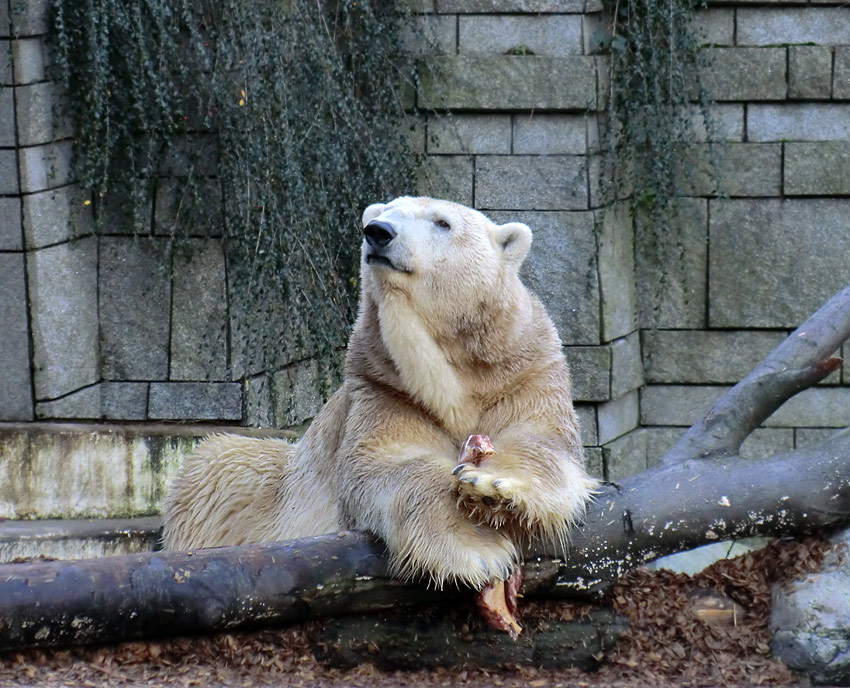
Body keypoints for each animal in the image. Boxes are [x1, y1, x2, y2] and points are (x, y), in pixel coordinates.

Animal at [162, 196, 592, 592]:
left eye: (443, 222)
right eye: (385, 211)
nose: (379, 232)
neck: (455, 373)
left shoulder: (525, 371)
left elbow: (541, 441)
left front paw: (493, 487)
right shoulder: (385, 388)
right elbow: (389, 464)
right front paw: (477, 550)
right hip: (244, 487)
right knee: (220, 461)